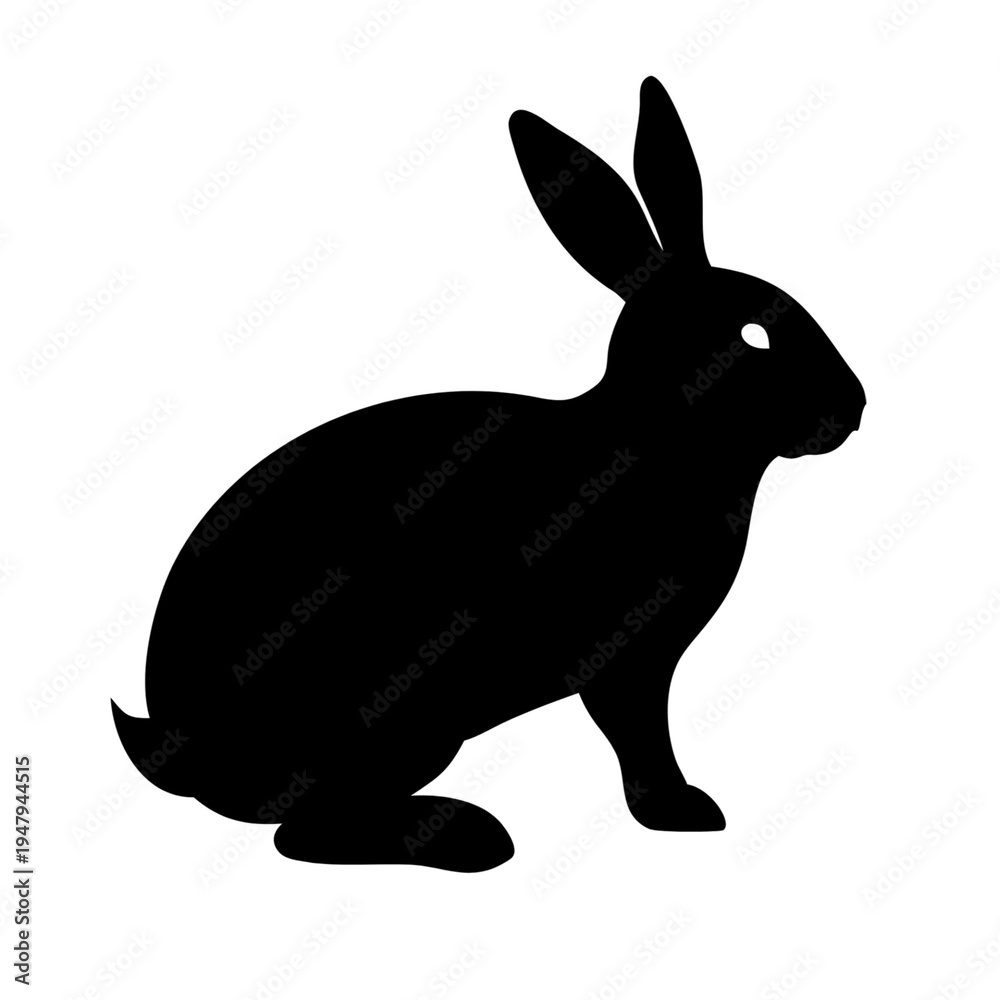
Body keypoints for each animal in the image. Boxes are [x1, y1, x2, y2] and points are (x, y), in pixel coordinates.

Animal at [112, 76, 865, 872]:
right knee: (306, 831)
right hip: (401, 720)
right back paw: (468, 836)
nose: (854, 407)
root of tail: (175, 749)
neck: (663, 437)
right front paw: (682, 811)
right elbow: (636, 733)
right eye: (754, 335)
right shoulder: (626, 660)